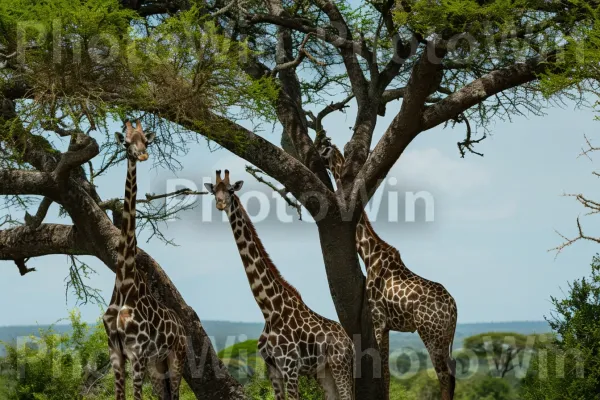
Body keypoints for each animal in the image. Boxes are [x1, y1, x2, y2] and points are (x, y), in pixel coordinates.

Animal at [102, 119, 188, 400]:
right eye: (127, 142)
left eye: (146, 141)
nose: (141, 155)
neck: (124, 284)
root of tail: (182, 327)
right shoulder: (116, 353)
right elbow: (120, 396)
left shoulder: (136, 353)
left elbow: (136, 397)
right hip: (156, 365)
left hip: (176, 358)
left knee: (176, 395)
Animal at [206, 170, 356, 400]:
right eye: (214, 190)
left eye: (230, 190)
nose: (220, 204)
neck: (269, 308)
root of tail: (350, 343)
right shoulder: (273, 369)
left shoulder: (290, 367)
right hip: (325, 371)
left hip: (340, 364)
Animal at [316, 138, 458, 400]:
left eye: (324, 149)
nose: (316, 154)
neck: (369, 255)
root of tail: (454, 307)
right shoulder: (388, 326)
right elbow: (387, 375)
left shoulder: (378, 319)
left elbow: (383, 374)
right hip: (445, 336)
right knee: (451, 373)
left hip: (431, 333)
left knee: (444, 375)